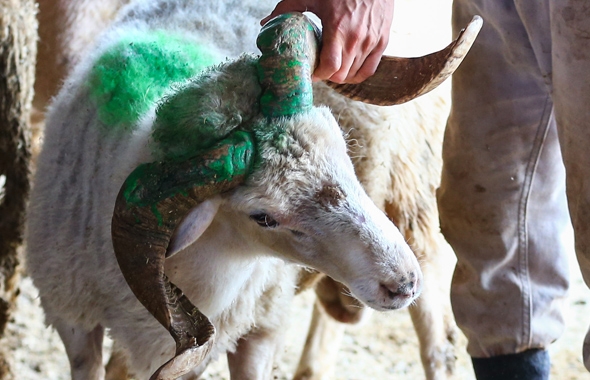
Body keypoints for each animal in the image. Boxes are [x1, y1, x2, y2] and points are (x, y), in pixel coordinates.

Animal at [25, 1, 484, 378]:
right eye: (263, 217)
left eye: (343, 155)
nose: (402, 282)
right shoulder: (72, 317)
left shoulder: (261, 327)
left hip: (412, 191)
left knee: (441, 342)